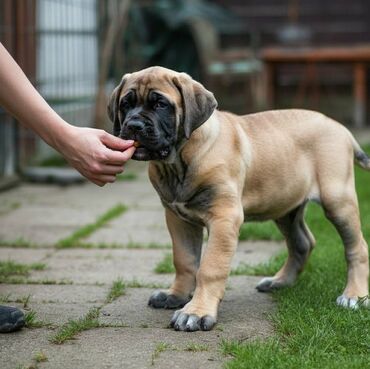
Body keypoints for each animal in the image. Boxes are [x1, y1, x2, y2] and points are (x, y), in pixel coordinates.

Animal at [107, 65, 370, 330]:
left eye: (161, 104)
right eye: (125, 104)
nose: (133, 125)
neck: (179, 161)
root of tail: (342, 129)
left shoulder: (224, 217)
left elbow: (209, 267)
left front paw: (196, 312)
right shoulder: (178, 219)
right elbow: (184, 260)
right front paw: (176, 295)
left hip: (337, 200)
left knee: (357, 246)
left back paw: (353, 296)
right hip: (286, 207)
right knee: (302, 243)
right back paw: (279, 281)